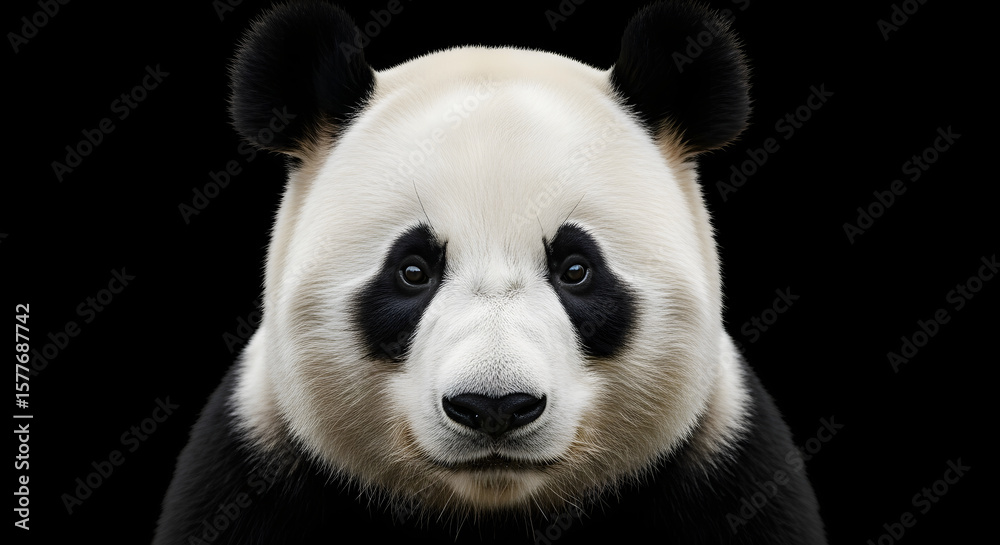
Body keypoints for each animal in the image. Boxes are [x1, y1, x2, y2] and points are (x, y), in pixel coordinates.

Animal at [154, 1, 826, 543]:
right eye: (413, 270)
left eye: (576, 269)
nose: (495, 406)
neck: (492, 512)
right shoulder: (256, 468)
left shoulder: (724, 470)